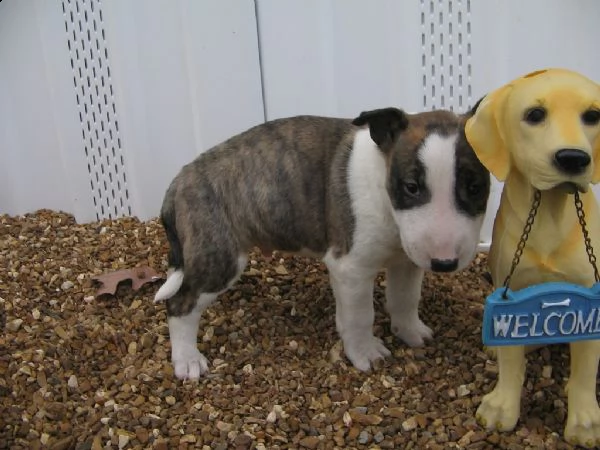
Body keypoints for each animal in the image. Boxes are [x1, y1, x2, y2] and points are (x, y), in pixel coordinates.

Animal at [154, 108, 488, 380]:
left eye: (475, 187)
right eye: (411, 187)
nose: (444, 263)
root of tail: (181, 179)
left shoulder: (406, 261)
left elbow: (405, 300)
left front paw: (409, 332)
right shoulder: (351, 269)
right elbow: (360, 316)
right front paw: (365, 353)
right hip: (220, 258)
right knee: (180, 304)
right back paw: (187, 360)